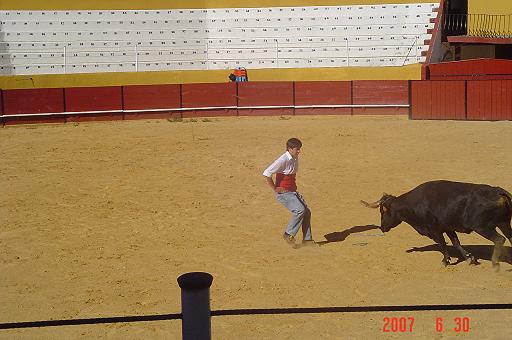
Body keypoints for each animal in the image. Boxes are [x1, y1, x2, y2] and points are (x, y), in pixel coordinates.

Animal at [360, 179, 512, 270]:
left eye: (382, 211)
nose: (382, 228)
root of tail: (499, 192)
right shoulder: (448, 227)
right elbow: (456, 242)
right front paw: (469, 258)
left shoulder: (435, 229)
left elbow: (442, 244)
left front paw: (445, 260)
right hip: (504, 223)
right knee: (509, 238)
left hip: (483, 227)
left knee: (499, 239)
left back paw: (495, 263)